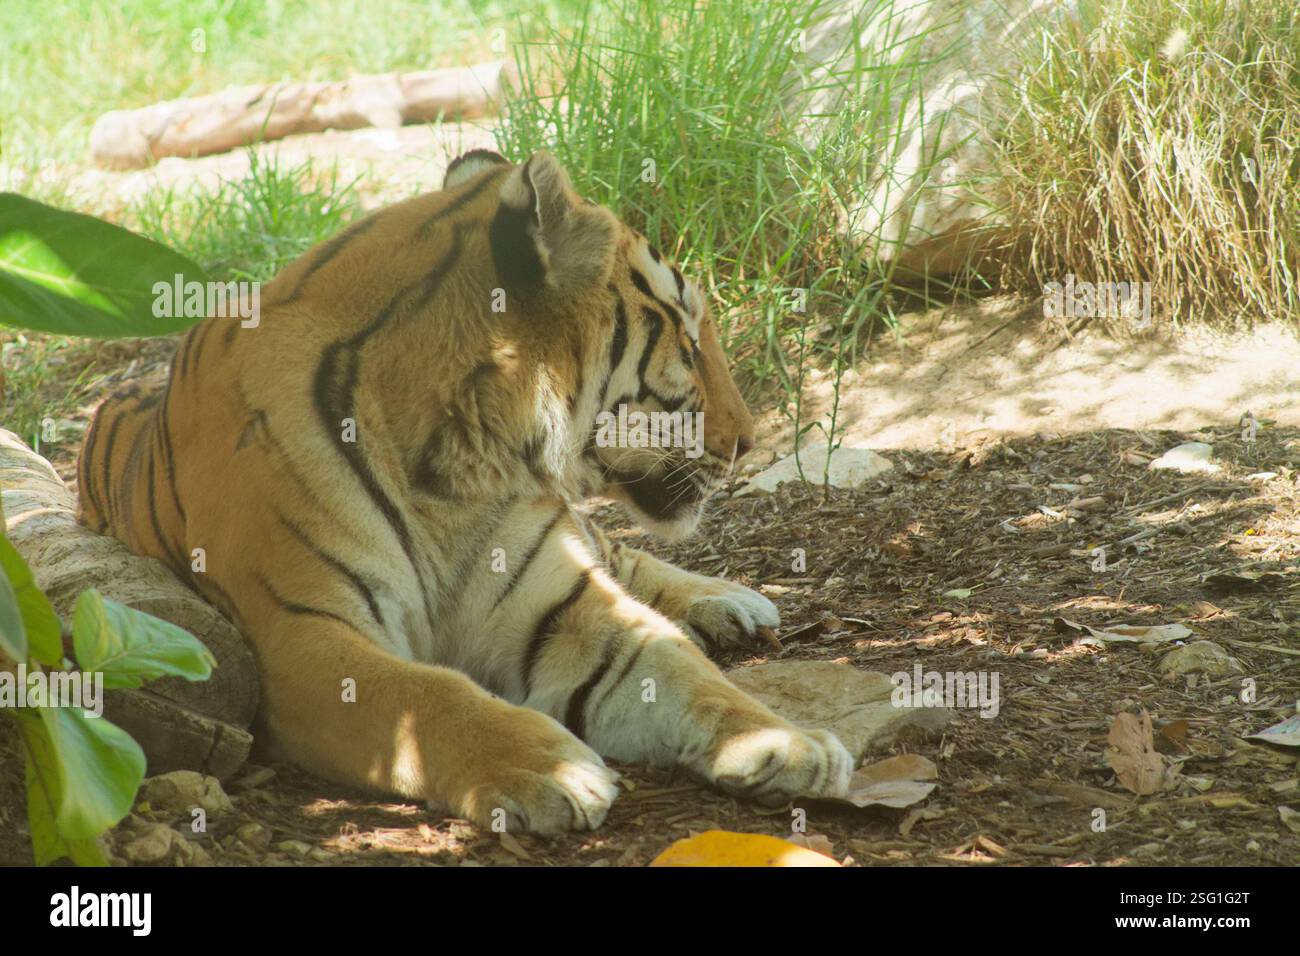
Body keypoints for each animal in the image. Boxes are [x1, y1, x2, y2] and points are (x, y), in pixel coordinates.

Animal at [77, 149, 852, 833]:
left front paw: (790, 743)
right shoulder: (301, 634)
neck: (459, 466)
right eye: (688, 344)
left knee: (620, 553)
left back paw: (730, 601)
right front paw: (553, 769)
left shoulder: (559, 604)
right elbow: (428, 694)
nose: (749, 440)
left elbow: (676, 667)